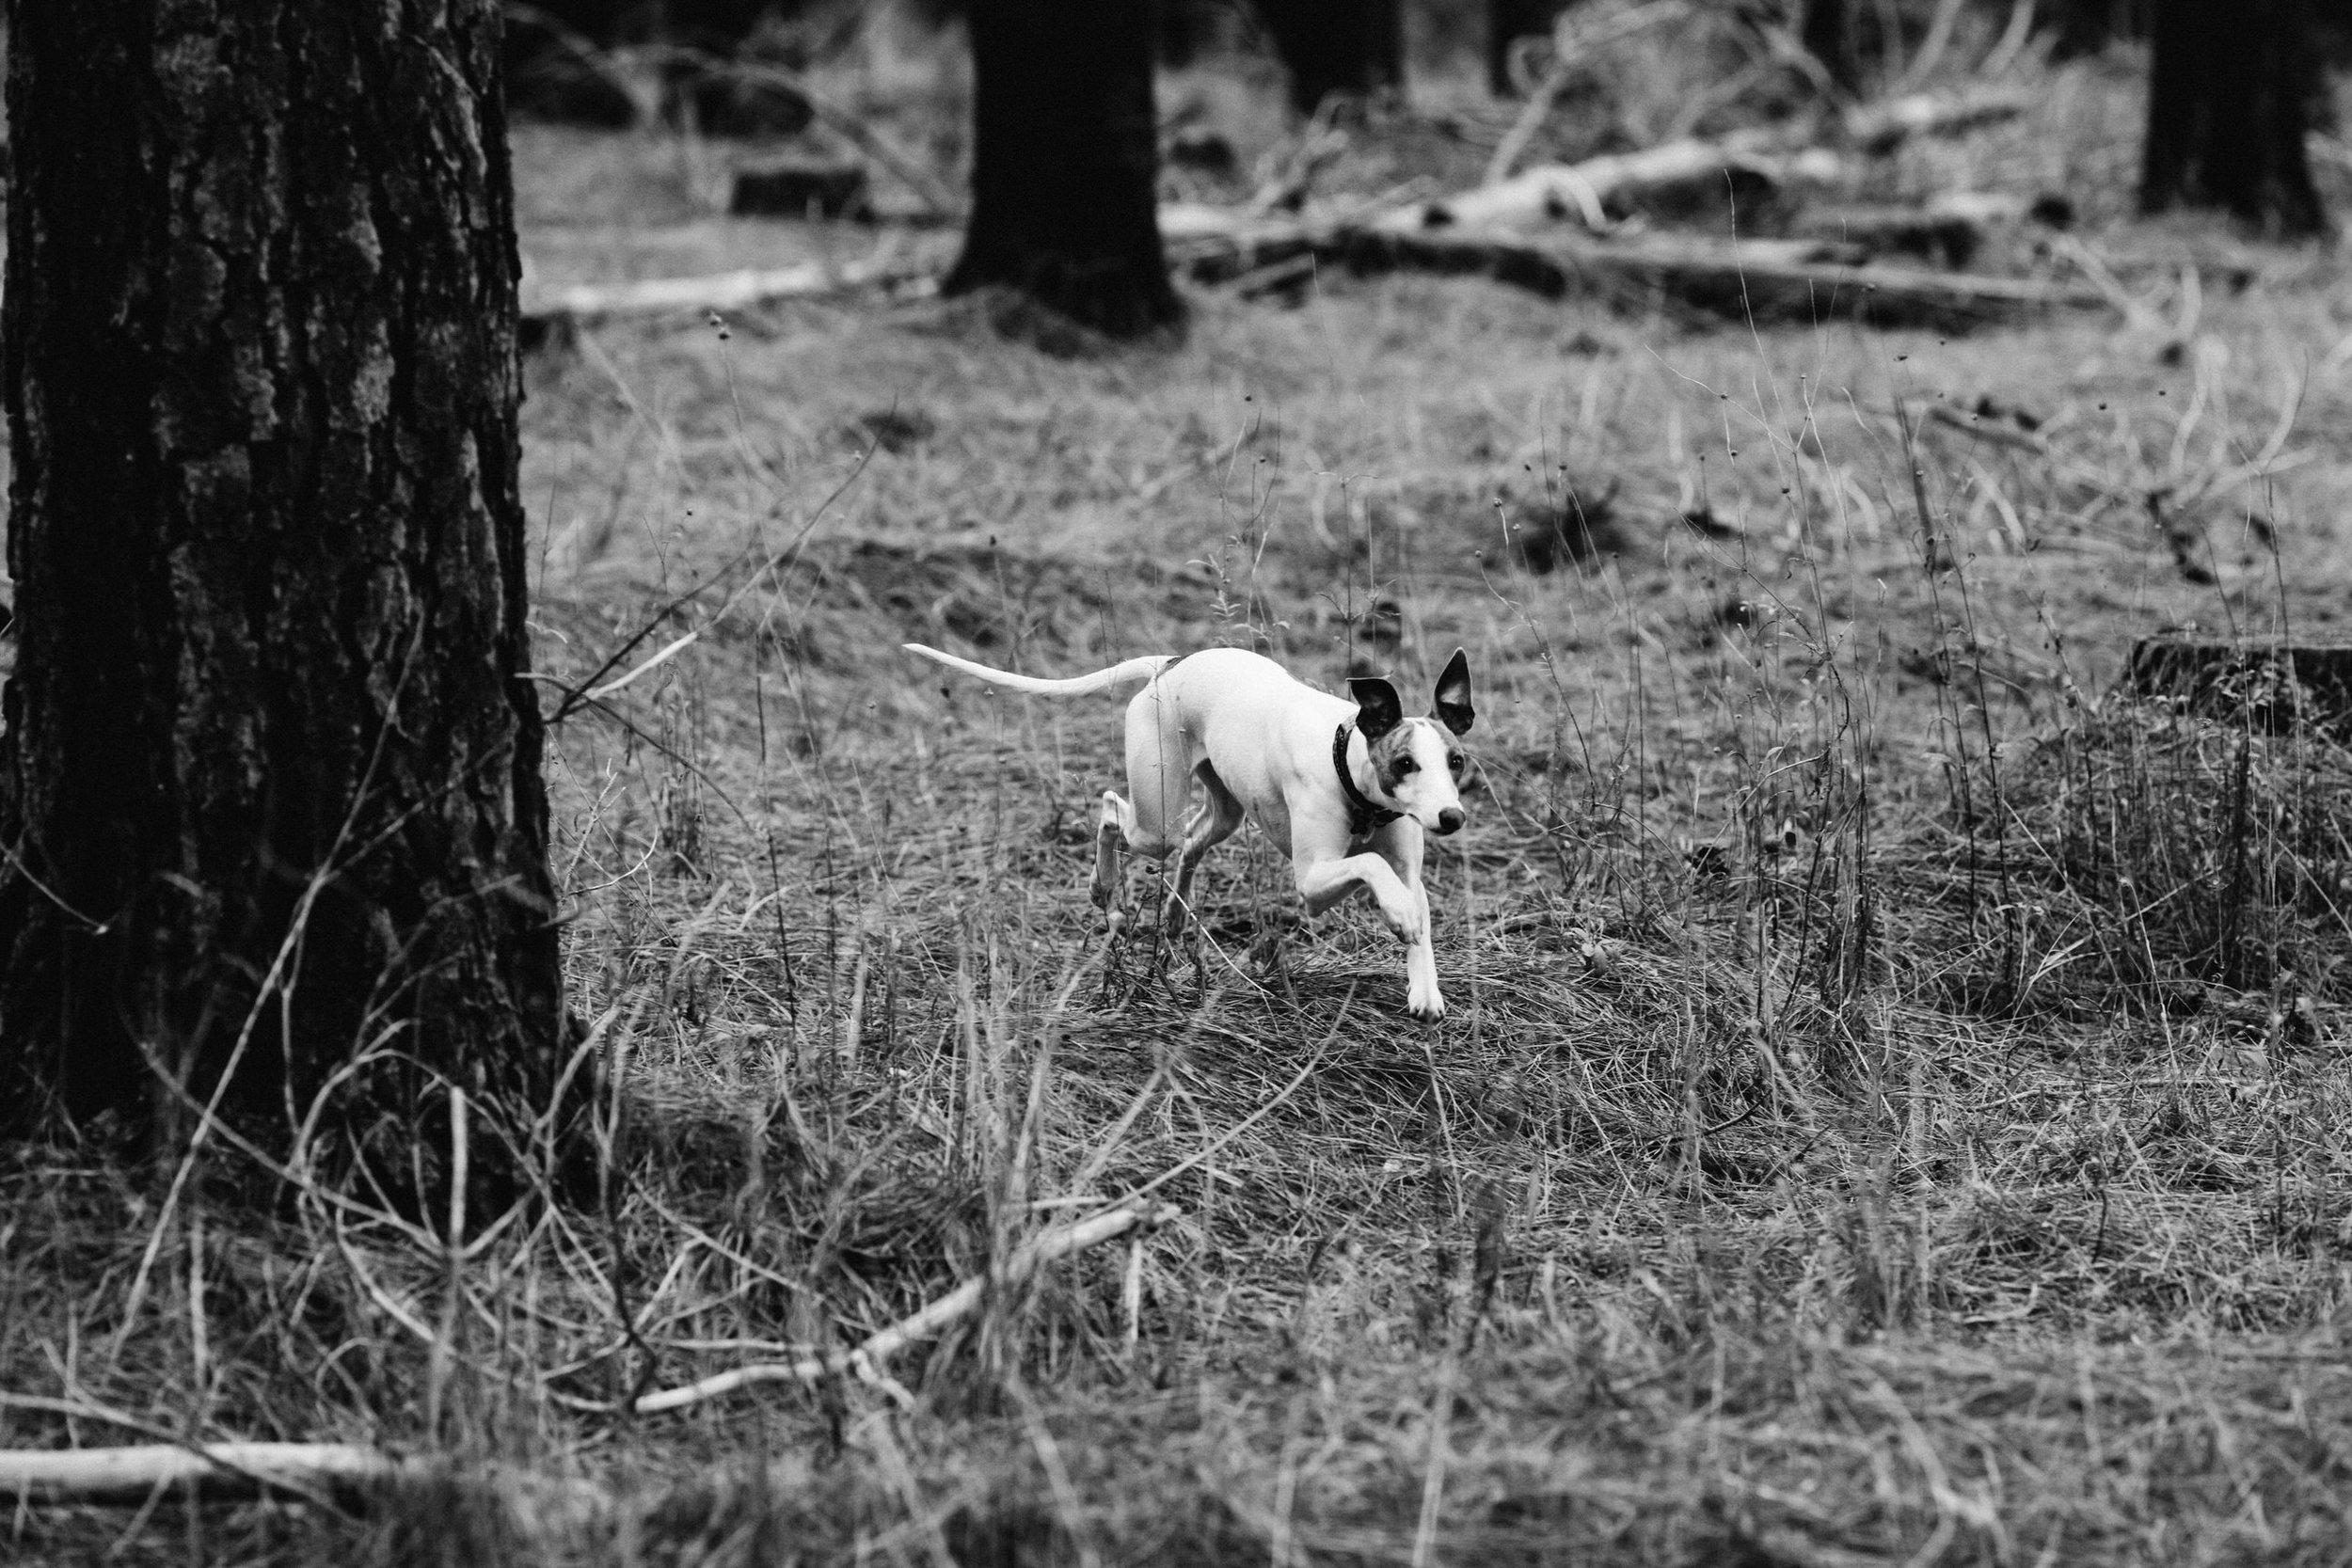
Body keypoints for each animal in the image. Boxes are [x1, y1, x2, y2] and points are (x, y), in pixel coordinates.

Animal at [898, 643, 1468, 1024]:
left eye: (1456, 761)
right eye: (1405, 763)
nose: (1452, 818)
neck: (1347, 764)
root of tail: (1167, 665)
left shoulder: (1405, 868)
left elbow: (1413, 901)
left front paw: (1425, 990)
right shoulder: (1312, 883)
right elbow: (1371, 868)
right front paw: (1399, 917)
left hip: (1223, 813)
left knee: (1191, 843)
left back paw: (1171, 916)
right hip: (1157, 819)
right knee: (1113, 809)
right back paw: (1106, 893)